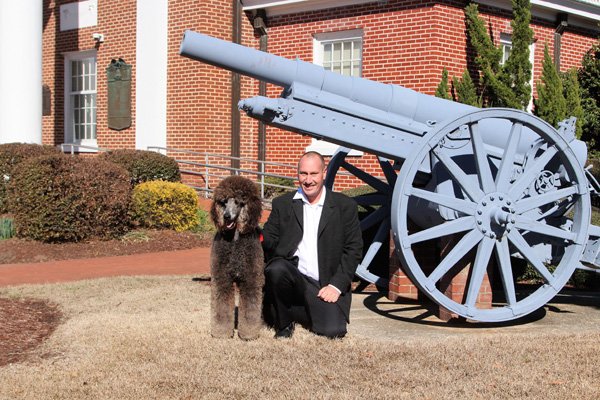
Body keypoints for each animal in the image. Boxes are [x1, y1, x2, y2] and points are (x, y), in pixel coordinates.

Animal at [209, 175, 264, 340]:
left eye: (239, 202)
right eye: (224, 202)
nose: (226, 216)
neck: (234, 240)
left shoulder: (251, 280)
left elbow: (251, 307)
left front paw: (249, 334)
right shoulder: (221, 279)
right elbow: (221, 306)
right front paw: (221, 332)